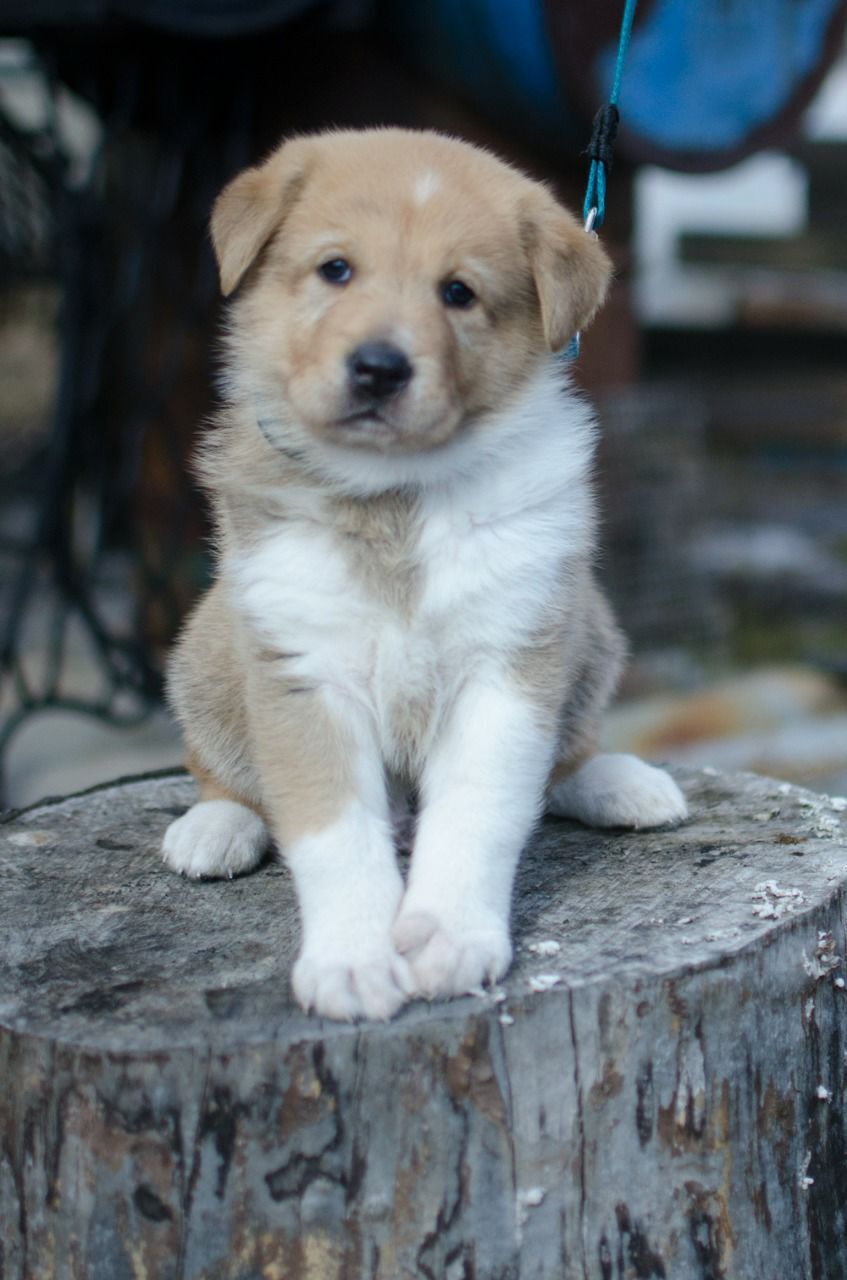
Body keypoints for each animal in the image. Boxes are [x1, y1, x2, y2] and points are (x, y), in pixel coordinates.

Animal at [161, 127, 690, 1018]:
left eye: (458, 293)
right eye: (336, 269)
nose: (379, 368)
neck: (395, 497)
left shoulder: (508, 663)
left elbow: (480, 812)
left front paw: (448, 941)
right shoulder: (304, 673)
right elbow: (332, 831)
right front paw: (353, 960)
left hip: (589, 630)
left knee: (564, 757)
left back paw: (622, 785)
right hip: (206, 651)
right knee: (224, 773)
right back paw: (214, 829)